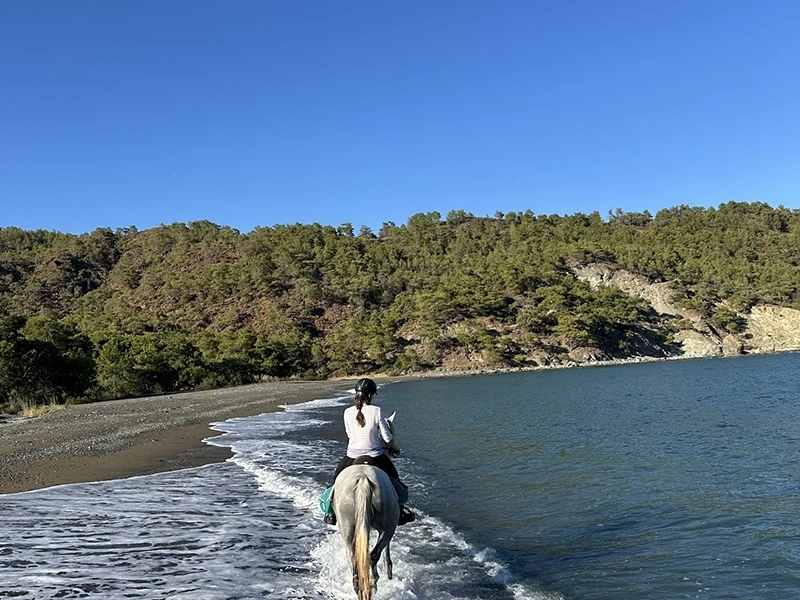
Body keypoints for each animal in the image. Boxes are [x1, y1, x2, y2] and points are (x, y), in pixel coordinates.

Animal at [332, 463, 400, 600]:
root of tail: (363, 478)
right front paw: (388, 570)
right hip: (389, 525)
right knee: (373, 554)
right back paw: (373, 584)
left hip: (347, 527)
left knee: (354, 560)